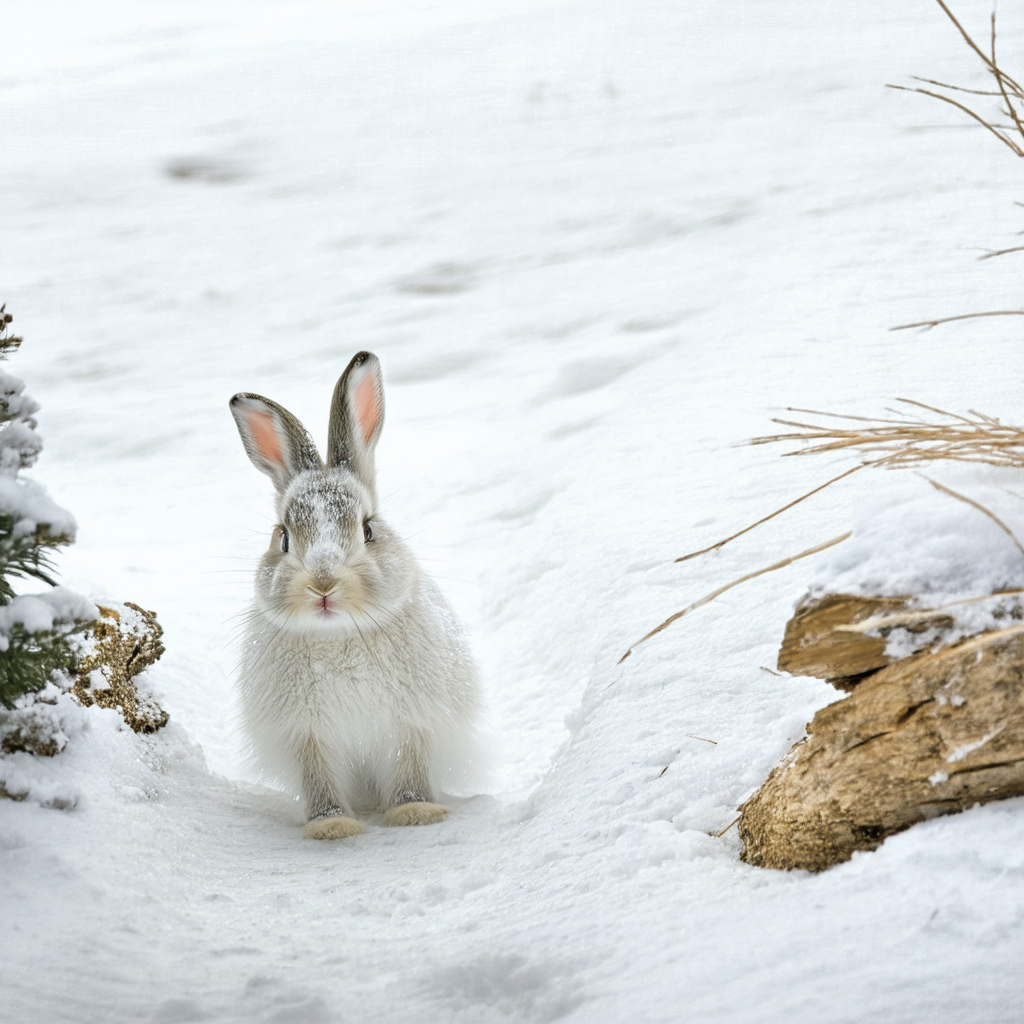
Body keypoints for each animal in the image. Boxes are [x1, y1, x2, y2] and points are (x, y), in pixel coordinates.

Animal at [229, 351, 484, 840]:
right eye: (283, 537)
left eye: (368, 529)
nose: (323, 586)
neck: (339, 637)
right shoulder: (307, 736)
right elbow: (319, 778)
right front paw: (332, 828)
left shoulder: (412, 723)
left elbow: (409, 768)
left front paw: (416, 814)